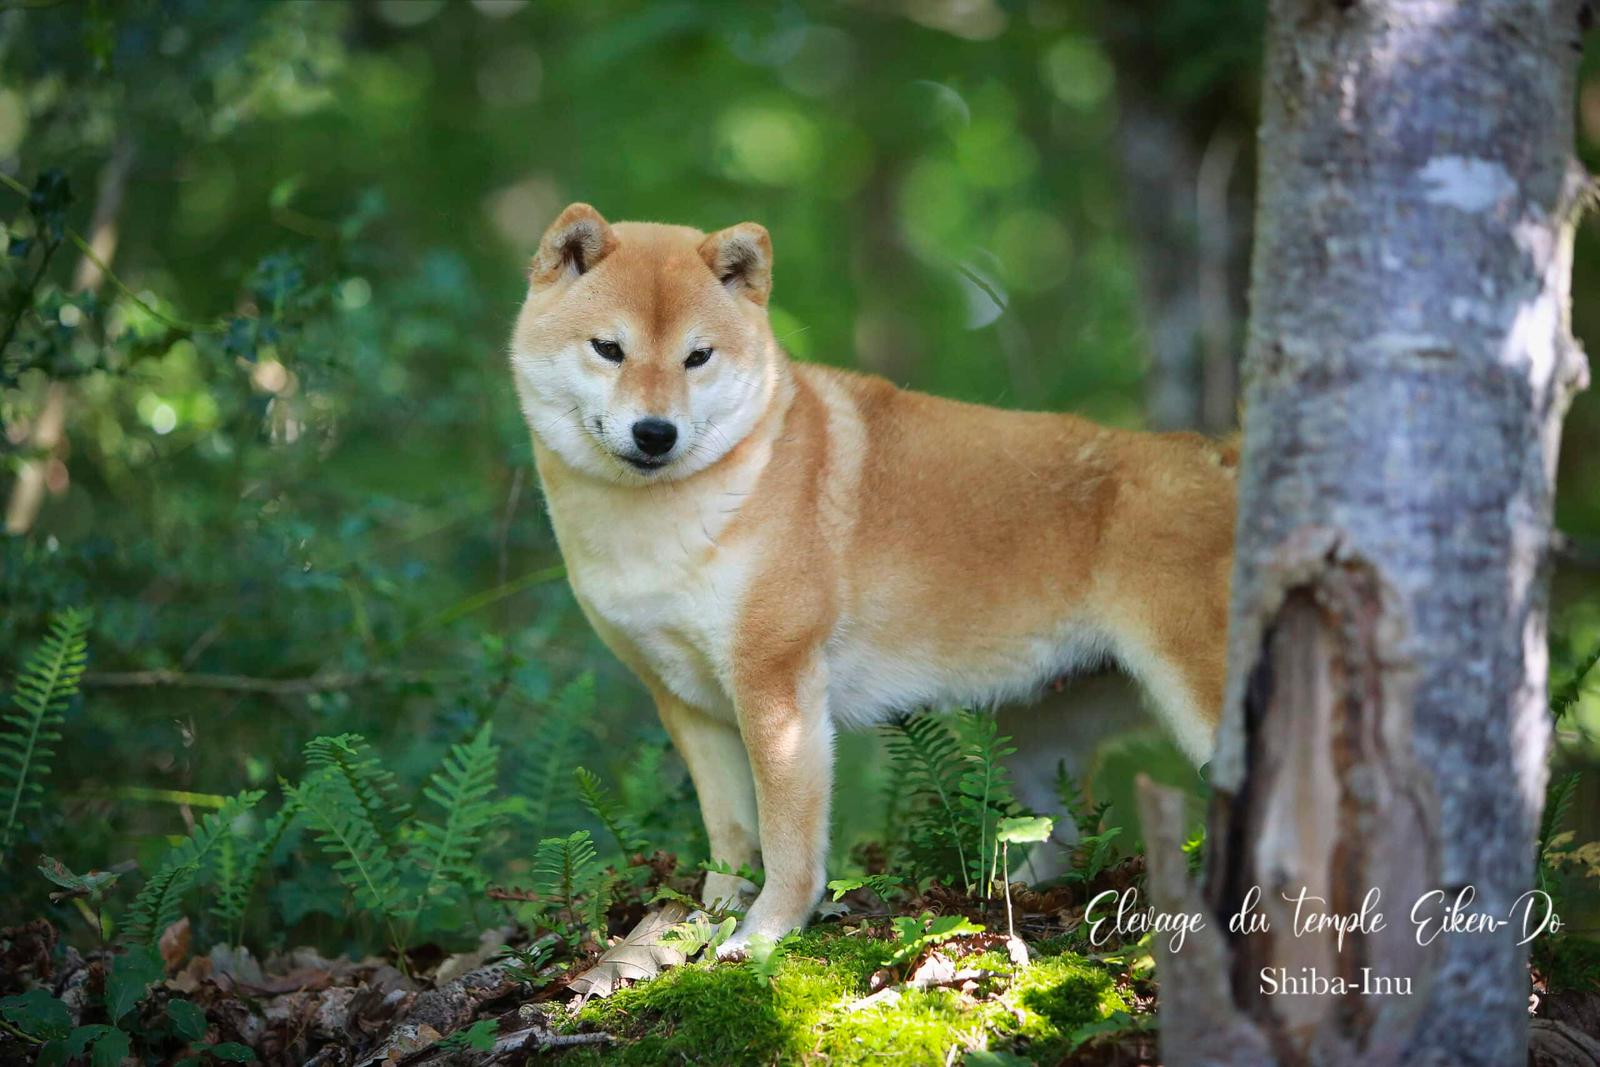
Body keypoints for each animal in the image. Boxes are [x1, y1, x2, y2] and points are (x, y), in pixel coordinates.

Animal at [512, 204, 1235, 953]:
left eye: (697, 356)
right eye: (609, 348)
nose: (655, 432)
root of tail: (1222, 457)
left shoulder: (777, 688)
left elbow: (787, 839)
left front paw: (762, 935)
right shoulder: (685, 699)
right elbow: (731, 834)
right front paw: (701, 923)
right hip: (1038, 736)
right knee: (1061, 836)